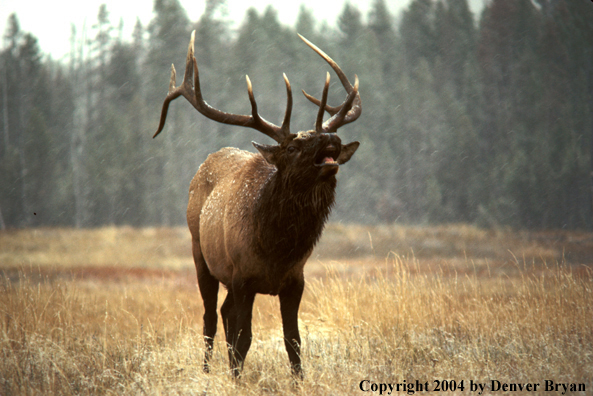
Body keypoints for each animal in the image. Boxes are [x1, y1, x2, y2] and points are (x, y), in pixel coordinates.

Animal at [153, 31, 360, 378]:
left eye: (327, 136)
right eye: (291, 147)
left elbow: (293, 341)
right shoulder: (242, 279)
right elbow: (244, 339)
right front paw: (236, 380)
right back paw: (207, 371)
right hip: (200, 254)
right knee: (210, 318)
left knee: (224, 313)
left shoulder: (295, 281)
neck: (276, 248)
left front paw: (297, 381)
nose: (330, 138)